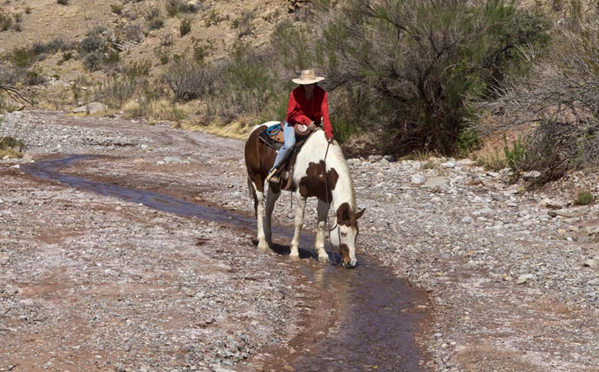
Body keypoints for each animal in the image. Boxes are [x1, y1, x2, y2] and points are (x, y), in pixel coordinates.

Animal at [244, 122, 366, 268]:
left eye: (357, 234)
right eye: (343, 233)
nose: (351, 262)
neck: (321, 162)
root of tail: (255, 129)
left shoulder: (324, 197)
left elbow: (321, 223)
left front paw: (322, 253)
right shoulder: (301, 192)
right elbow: (299, 222)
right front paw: (294, 252)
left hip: (275, 186)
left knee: (268, 209)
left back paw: (269, 240)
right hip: (256, 176)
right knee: (260, 207)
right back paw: (262, 242)